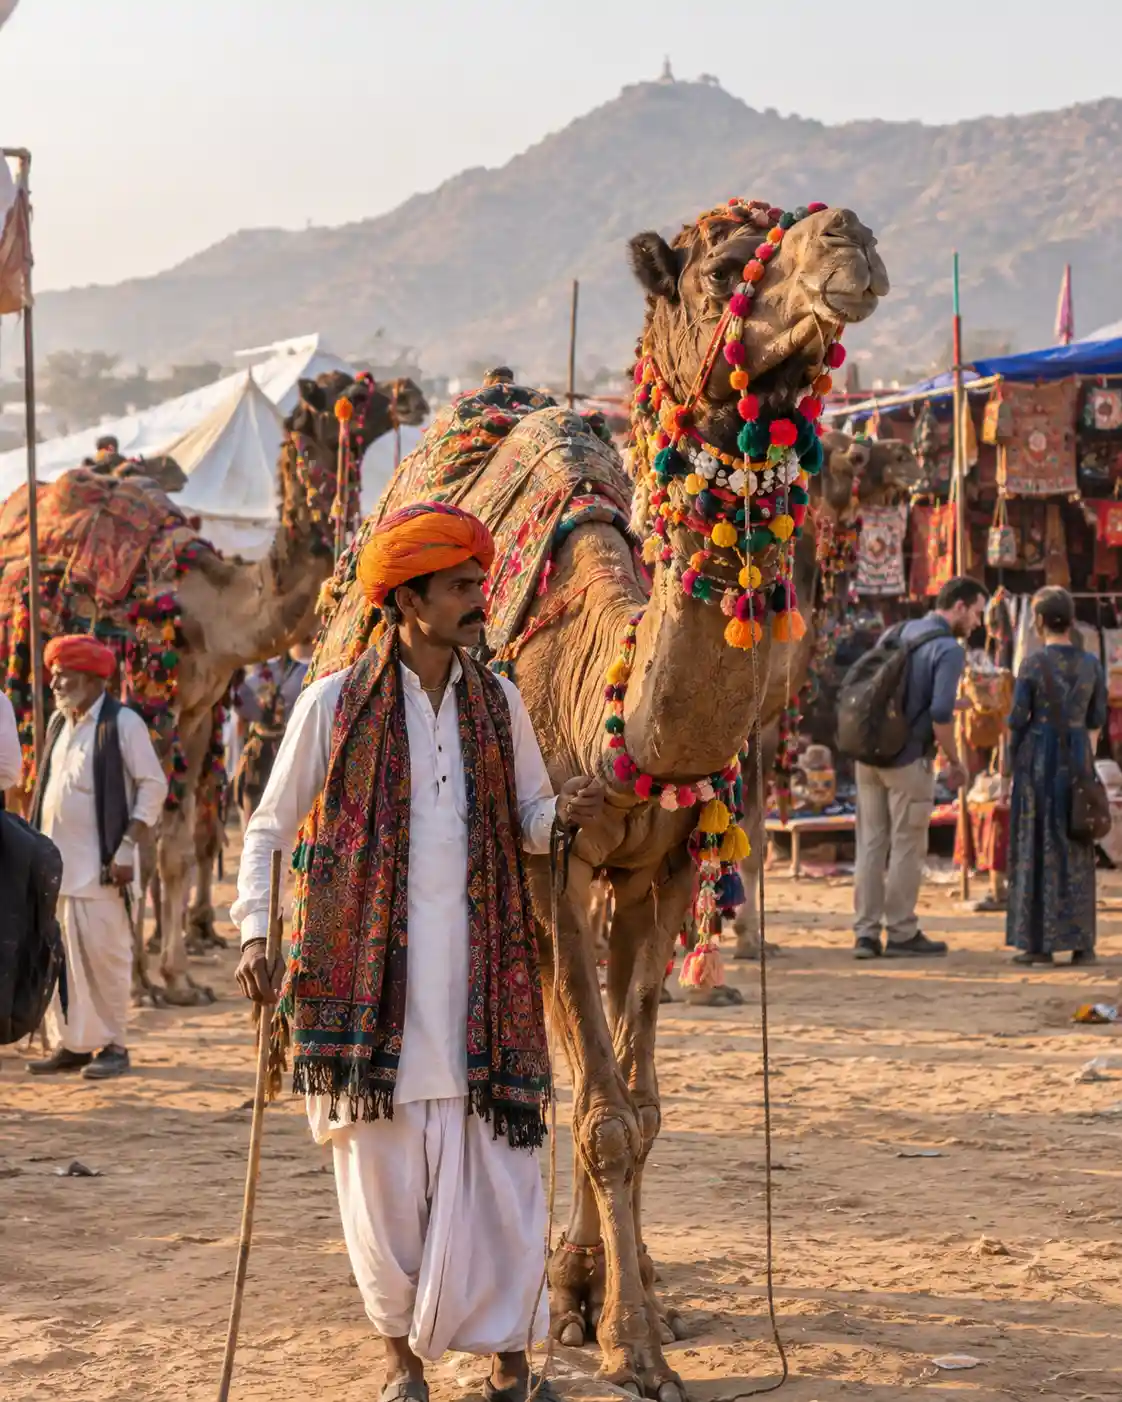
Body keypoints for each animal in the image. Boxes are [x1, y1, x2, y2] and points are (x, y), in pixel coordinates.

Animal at [308, 200, 888, 1396]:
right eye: (722, 269)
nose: (848, 239)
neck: (610, 697)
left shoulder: (660, 867)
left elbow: (639, 1104)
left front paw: (625, 1307)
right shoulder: (554, 862)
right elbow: (606, 1112)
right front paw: (631, 1344)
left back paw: (599, 1279)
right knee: (564, 1070)